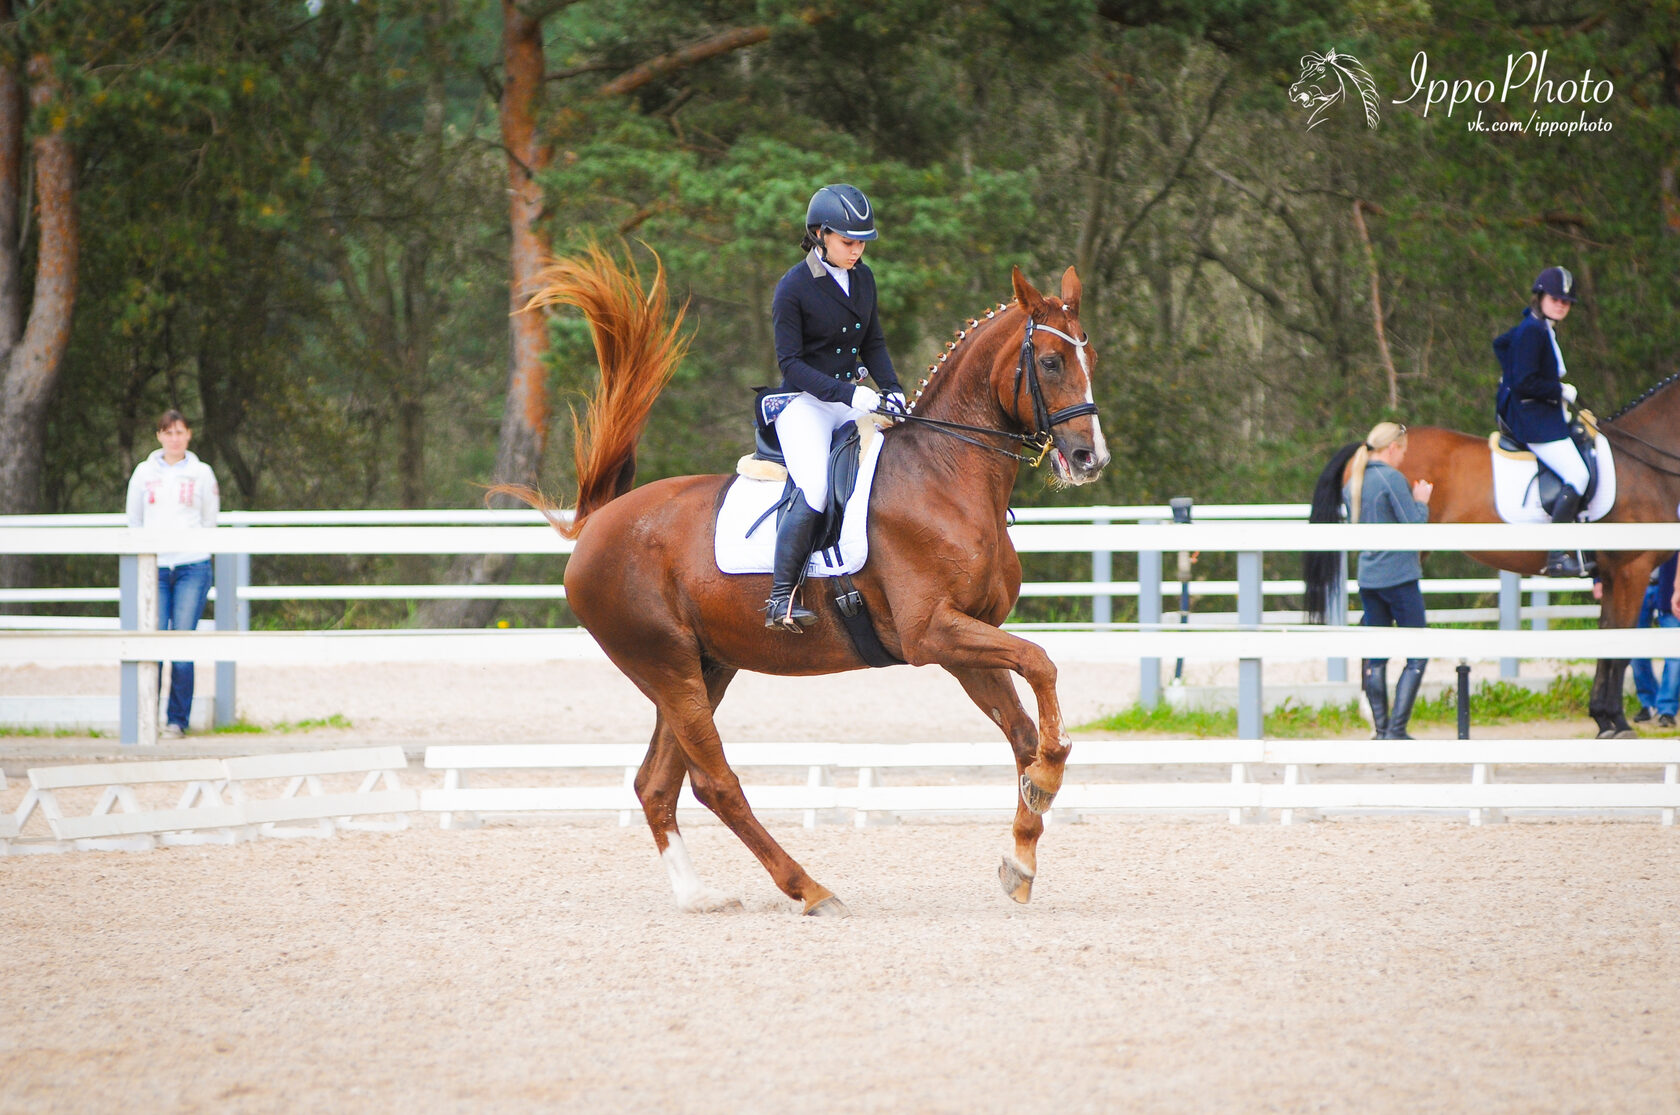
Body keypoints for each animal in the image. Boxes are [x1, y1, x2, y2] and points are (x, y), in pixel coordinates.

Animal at [503, 251, 1108, 913]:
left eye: (1089, 357)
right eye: (1049, 362)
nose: (1090, 459)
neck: (944, 474)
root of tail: (598, 523)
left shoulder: (965, 641)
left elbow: (1022, 730)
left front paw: (1021, 853)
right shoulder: (932, 634)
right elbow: (1042, 663)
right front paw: (1048, 777)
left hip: (704, 666)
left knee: (656, 783)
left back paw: (698, 896)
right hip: (665, 666)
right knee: (714, 782)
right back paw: (810, 889)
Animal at [1303, 382, 1680, 738]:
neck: (1644, 464)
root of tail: (1367, 450)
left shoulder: (1614, 575)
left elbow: (1607, 640)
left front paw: (1603, 718)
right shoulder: (1633, 569)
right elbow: (1622, 648)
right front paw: (1618, 722)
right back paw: (1376, 719)